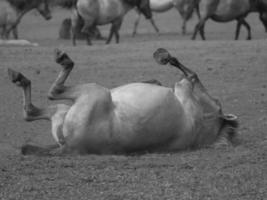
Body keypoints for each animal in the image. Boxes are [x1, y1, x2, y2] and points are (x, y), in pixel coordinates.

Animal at [7, 48, 239, 155]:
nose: (215, 99)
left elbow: (191, 74)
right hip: (62, 109)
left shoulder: (184, 87)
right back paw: (20, 78)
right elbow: (179, 74)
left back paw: (55, 62)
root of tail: (69, 147)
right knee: (30, 111)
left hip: (93, 92)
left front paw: (164, 57)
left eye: (217, 101)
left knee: (52, 92)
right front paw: (159, 66)